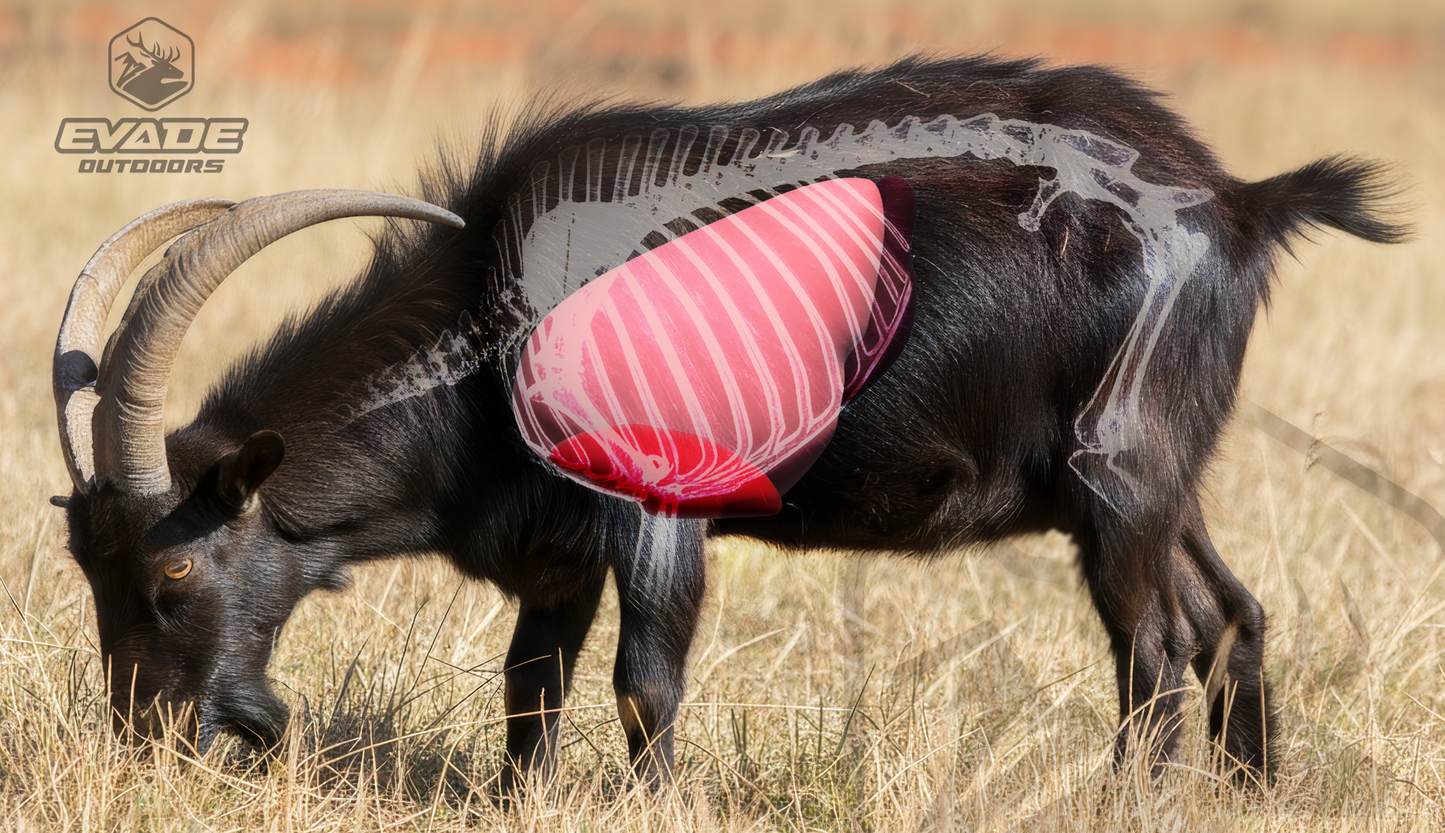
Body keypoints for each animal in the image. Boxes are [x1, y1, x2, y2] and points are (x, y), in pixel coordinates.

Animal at [52, 56, 1402, 789]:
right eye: (87, 568)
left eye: (175, 569)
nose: (146, 744)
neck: (492, 324)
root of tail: (1236, 200)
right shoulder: (556, 550)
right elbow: (529, 691)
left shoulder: (659, 507)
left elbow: (644, 684)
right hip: (1152, 480)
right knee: (1230, 614)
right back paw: (1249, 794)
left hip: (1117, 469)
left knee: (1155, 645)